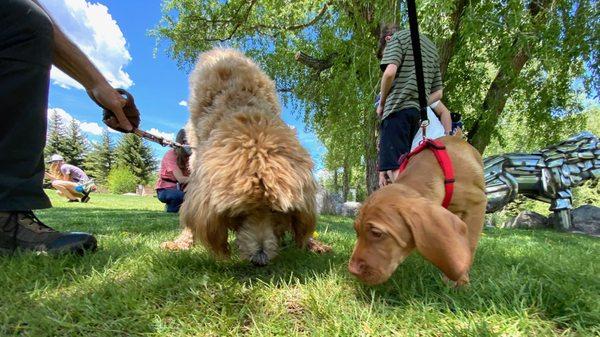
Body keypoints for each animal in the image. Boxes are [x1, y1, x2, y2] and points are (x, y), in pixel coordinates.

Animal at [161, 48, 328, 264]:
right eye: (239, 213)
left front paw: (311, 243)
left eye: (276, 210)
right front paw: (183, 241)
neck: (242, 105)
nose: (260, 259)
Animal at [350, 133, 486, 284]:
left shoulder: (477, 202)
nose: (352, 270)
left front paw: (460, 280)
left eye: (376, 233)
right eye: (356, 231)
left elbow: (471, 242)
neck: (434, 172)